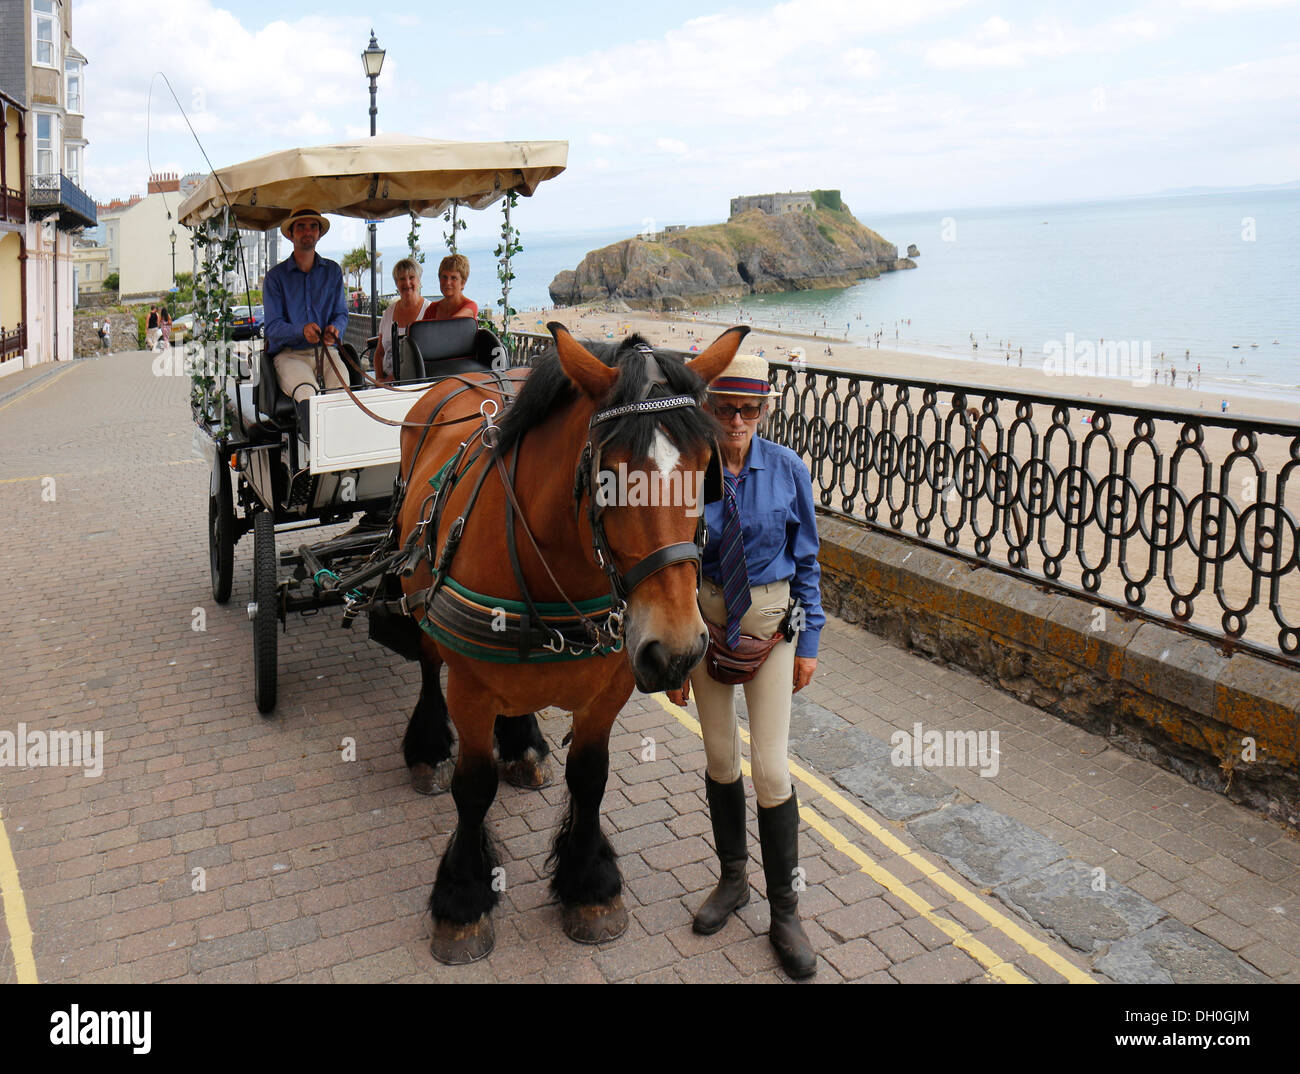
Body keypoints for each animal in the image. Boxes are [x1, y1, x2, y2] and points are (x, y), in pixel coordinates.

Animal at [395, 319, 748, 962]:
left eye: (707, 469)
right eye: (607, 477)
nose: (678, 650)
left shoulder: (609, 689)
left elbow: (590, 778)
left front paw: (590, 887)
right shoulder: (471, 688)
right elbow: (473, 787)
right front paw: (462, 900)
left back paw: (521, 743)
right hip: (420, 599)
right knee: (429, 664)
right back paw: (430, 748)